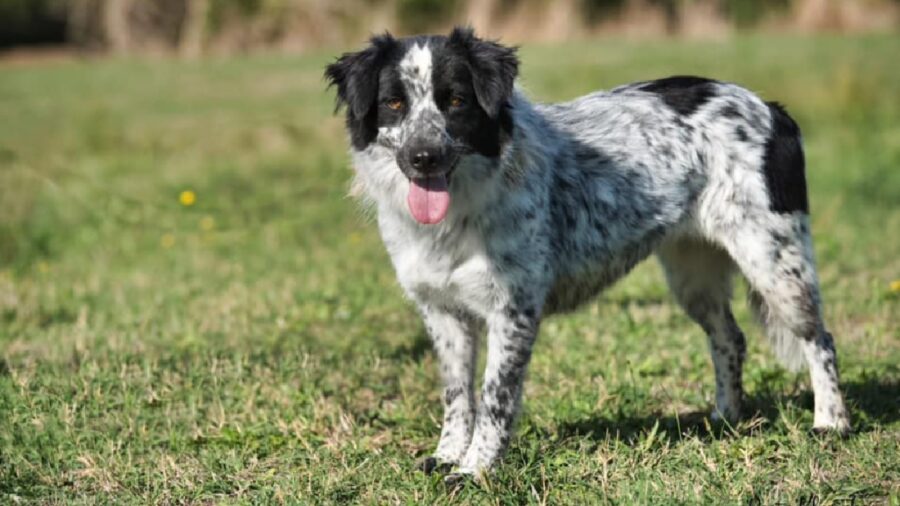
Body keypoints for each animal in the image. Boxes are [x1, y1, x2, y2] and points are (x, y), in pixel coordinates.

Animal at [324, 27, 852, 482]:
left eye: (455, 101)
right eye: (394, 103)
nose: (423, 157)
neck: (461, 209)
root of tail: (771, 108)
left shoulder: (512, 311)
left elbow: (495, 397)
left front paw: (475, 470)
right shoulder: (442, 312)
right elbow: (457, 395)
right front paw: (448, 456)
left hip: (775, 265)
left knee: (820, 339)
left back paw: (831, 423)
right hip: (692, 275)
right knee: (730, 338)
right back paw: (724, 417)